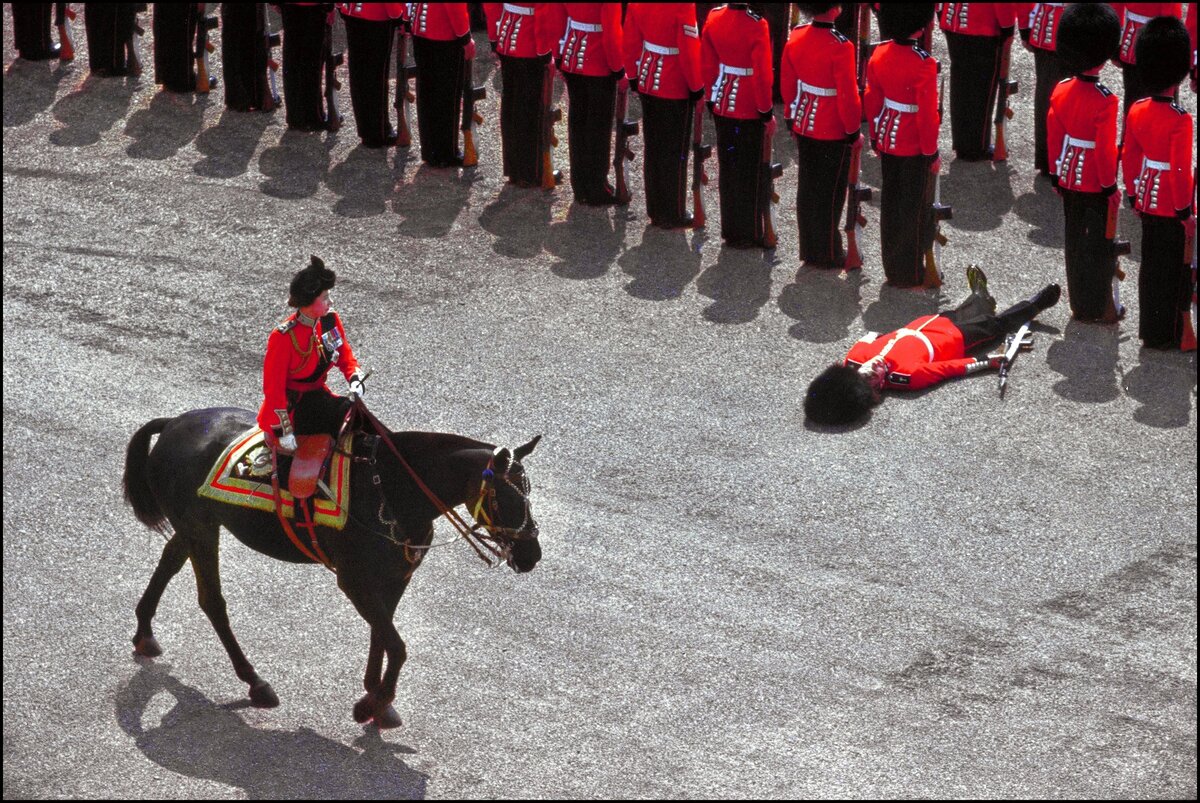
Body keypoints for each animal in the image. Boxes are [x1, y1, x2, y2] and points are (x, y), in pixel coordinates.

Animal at [121, 408, 544, 724]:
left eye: (528, 493)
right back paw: (255, 682)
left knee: (170, 562)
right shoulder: (354, 581)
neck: (390, 489)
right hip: (201, 530)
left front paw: (377, 698)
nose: (532, 555)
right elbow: (397, 645)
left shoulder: (395, 579)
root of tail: (173, 423)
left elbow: (383, 636)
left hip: (194, 528)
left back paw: (144, 631)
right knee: (212, 601)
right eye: (507, 497)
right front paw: (373, 702)